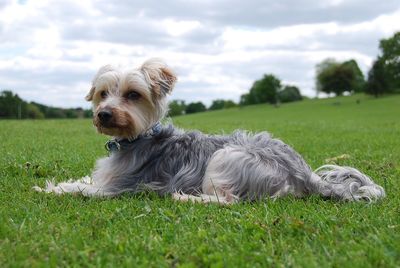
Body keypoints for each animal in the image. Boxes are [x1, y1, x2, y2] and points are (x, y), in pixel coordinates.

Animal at [33, 58, 384, 204]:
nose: (103, 114)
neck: (137, 137)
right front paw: (57, 182)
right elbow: (82, 179)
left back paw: (185, 198)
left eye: (133, 95)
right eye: (103, 93)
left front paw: (48, 189)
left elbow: (81, 189)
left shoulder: (117, 187)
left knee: (229, 201)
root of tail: (303, 172)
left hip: (226, 158)